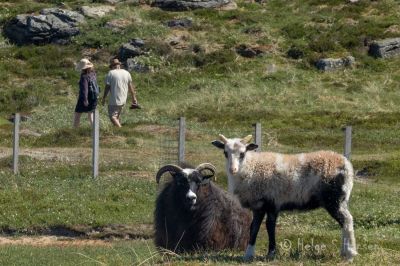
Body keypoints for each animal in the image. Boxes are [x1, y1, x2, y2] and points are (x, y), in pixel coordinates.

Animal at [211, 134, 358, 260]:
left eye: (242, 154)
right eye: (225, 153)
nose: (232, 170)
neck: (251, 167)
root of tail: (346, 164)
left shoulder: (268, 202)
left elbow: (268, 227)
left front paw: (270, 253)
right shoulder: (262, 205)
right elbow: (254, 228)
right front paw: (248, 255)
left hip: (334, 199)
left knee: (347, 221)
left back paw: (350, 254)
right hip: (340, 200)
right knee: (345, 222)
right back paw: (344, 252)